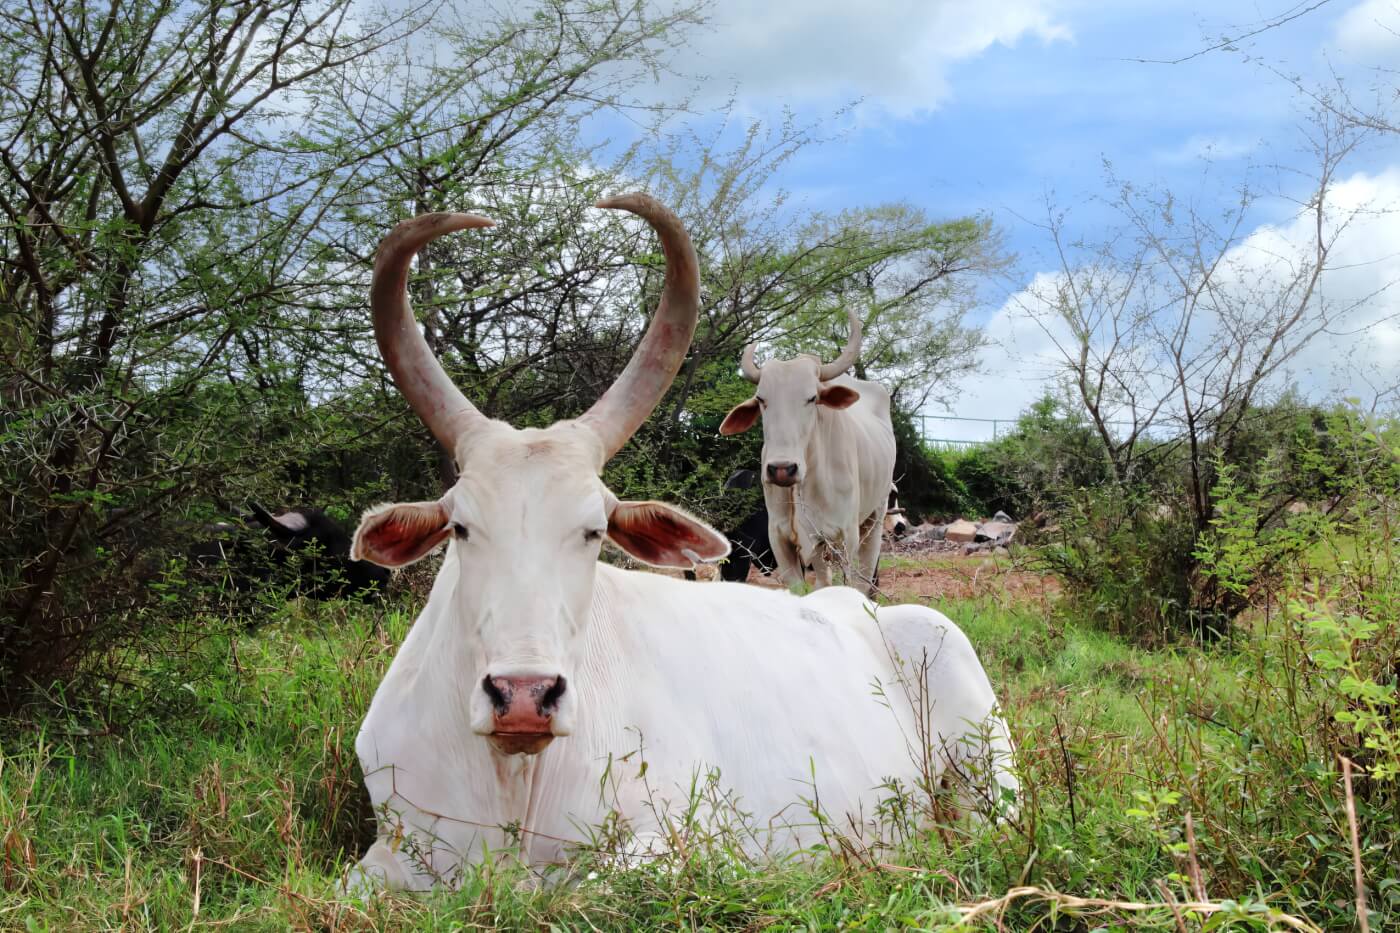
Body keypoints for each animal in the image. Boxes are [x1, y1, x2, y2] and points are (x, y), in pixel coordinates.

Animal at [722, 308, 896, 591]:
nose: (782, 469)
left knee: (866, 573)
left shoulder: (845, 536)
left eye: (812, 398)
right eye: (761, 399)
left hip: (875, 517)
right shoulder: (781, 541)